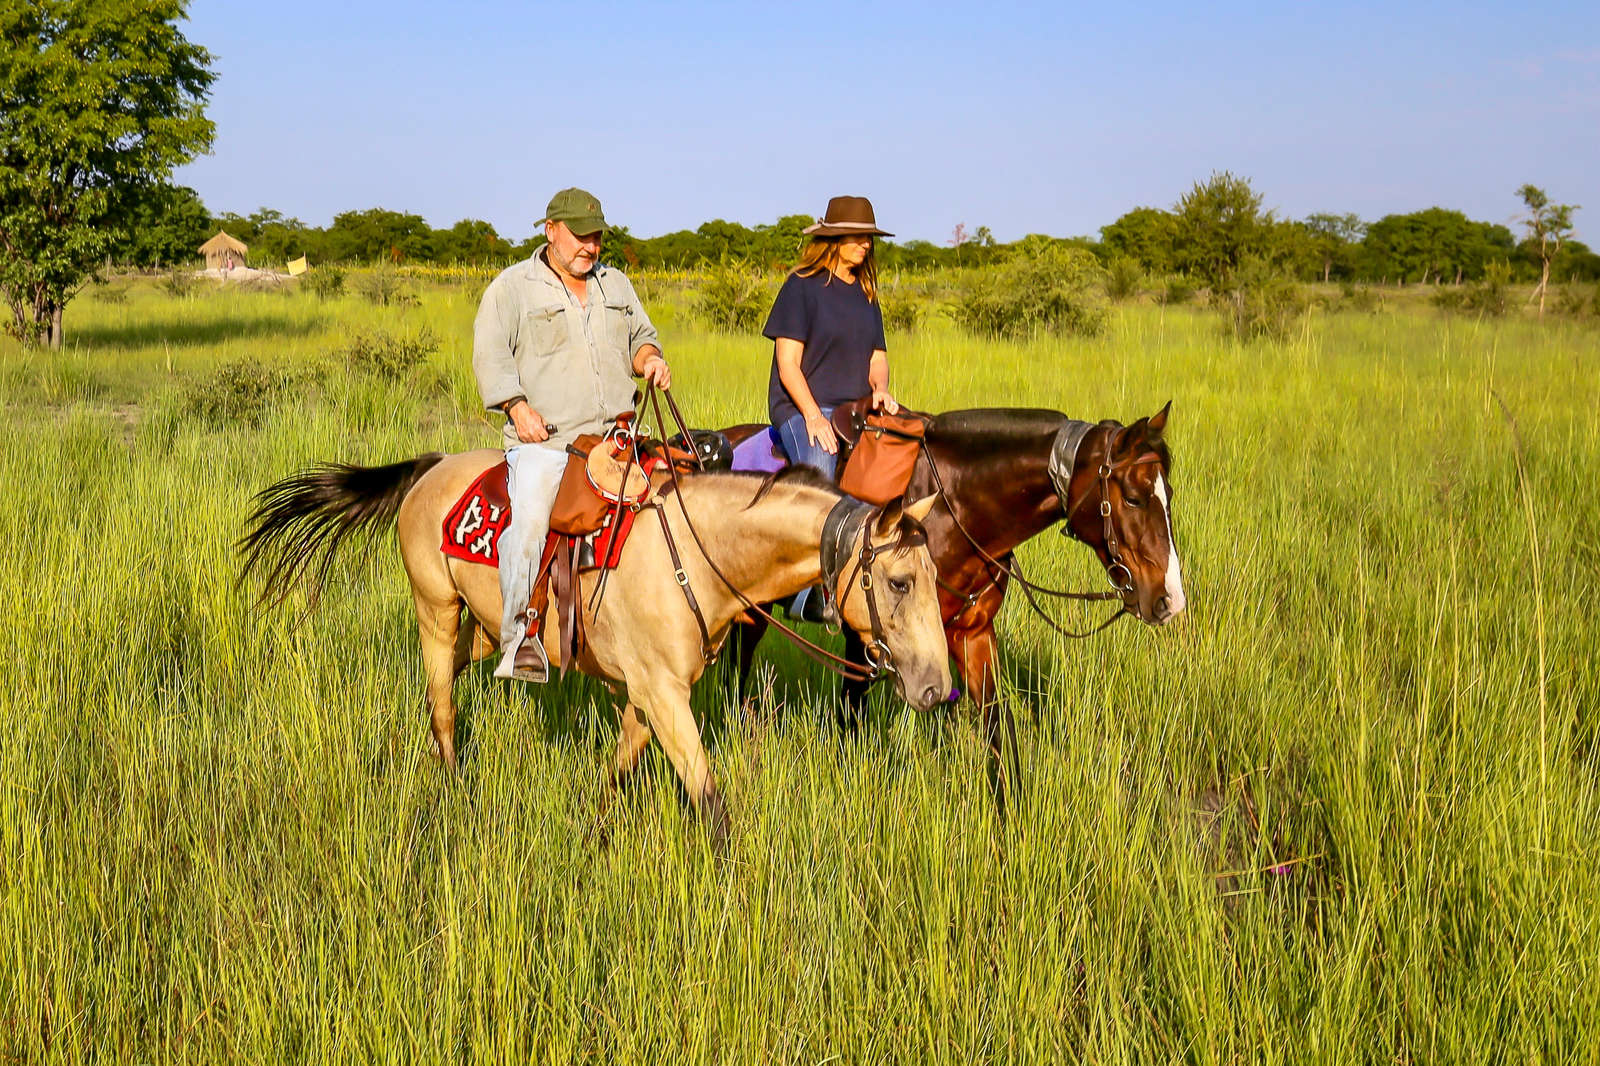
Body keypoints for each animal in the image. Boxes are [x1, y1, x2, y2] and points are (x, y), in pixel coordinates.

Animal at [239, 452, 953, 842]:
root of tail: (432, 467)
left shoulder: (646, 690)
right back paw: (450, 780)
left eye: (937, 574)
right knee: (440, 696)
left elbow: (619, 770)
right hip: (435, 608)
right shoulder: (665, 694)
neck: (698, 555)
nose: (935, 688)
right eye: (899, 581)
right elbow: (710, 798)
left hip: (486, 627)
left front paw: (597, 834)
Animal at [723, 402, 1185, 808]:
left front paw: (1014, 819)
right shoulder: (865, 636)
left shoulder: (974, 635)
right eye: (1133, 497)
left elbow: (999, 729)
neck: (953, 510)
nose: (1170, 599)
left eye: (1168, 493)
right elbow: (851, 716)